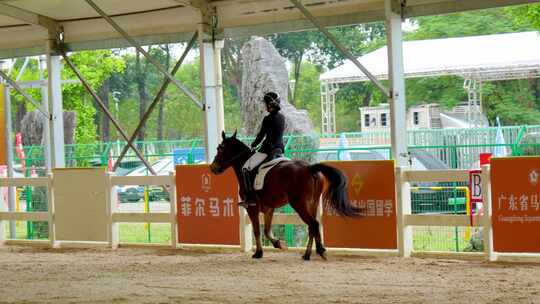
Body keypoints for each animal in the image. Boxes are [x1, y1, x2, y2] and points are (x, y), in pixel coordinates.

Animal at [210, 132, 358, 260]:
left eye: (220, 149)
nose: (213, 168)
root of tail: (310, 168)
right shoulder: (269, 208)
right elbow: (267, 230)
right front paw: (279, 244)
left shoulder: (252, 207)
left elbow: (257, 230)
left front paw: (258, 253)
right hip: (313, 203)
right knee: (312, 226)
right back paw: (308, 254)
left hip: (299, 204)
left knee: (314, 224)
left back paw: (319, 251)